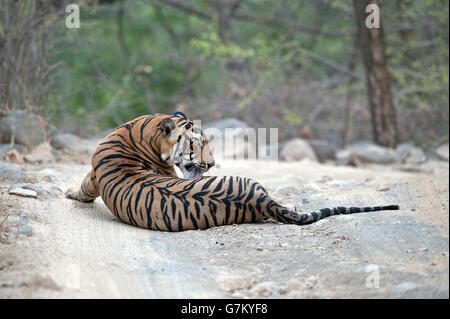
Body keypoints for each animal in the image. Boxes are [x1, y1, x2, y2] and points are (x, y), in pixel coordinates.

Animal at [65, 112, 400, 232]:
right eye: (197, 144)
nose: (212, 165)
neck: (140, 130)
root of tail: (260, 200)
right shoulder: (94, 175)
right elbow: (84, 186)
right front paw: (70, 193)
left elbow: (84, 184)